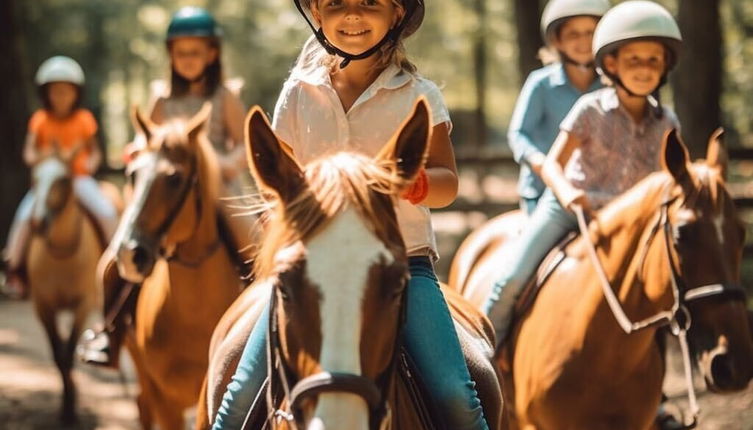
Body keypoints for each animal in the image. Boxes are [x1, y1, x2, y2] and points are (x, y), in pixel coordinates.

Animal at [26, 149, 119, 424]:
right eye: (34, 178)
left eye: (63, 180)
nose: (38, 223)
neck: (61, 255)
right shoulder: (42, 306)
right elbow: (59, 355)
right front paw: (68, 401)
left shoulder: (83, 304)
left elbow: (67, 353)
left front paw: (70, 408)